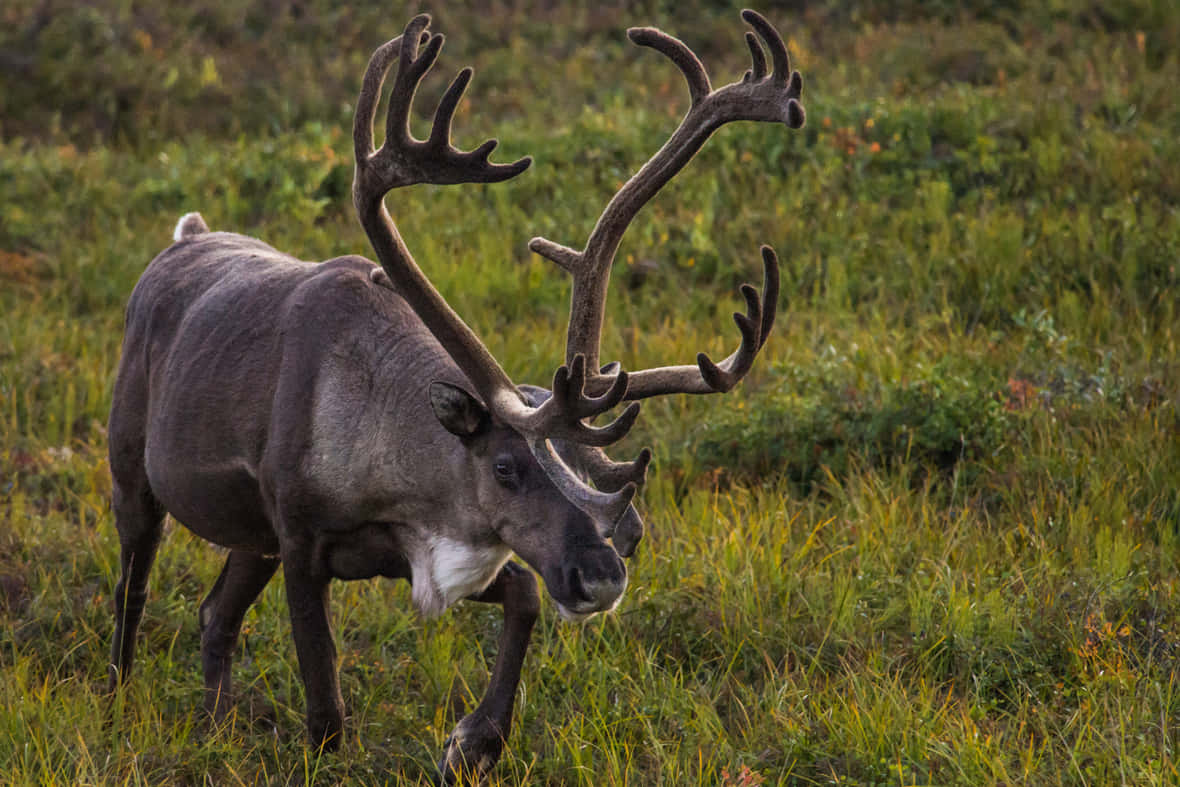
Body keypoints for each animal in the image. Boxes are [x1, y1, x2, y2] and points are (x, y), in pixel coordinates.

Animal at [105, 9, 804, 783]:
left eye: (587, 470)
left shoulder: (433, 555)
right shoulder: (301, 542)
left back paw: (216, 728)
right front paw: (338, 750)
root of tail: (184, 238)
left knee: (214, 615)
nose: (603, 576)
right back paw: (119, 701)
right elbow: (325, 700)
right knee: (133, 587)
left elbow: (524, 596)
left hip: (248, 535)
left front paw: (474, 741)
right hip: (135, 470)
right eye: (505, 467)